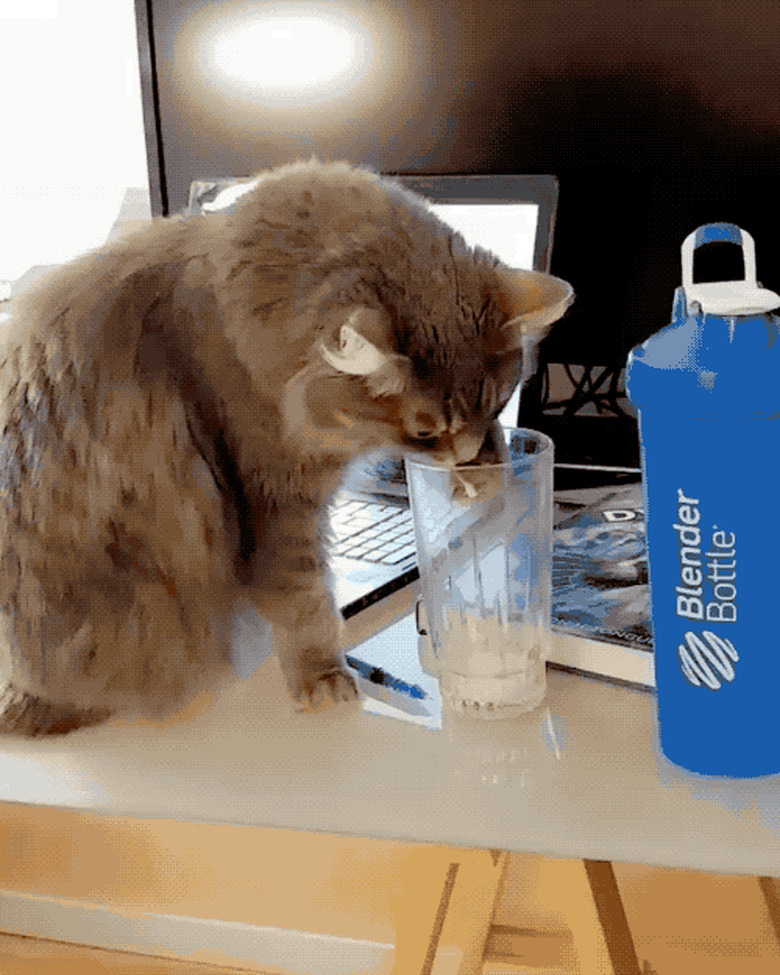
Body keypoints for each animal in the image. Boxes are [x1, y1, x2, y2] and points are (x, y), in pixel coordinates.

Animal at [0, 160, 572, 736]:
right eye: (424, 434)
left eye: (499, 402)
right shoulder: (277, 500)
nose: (461, 456)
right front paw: (323, 676)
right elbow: (304, 601)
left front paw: (488, 469)